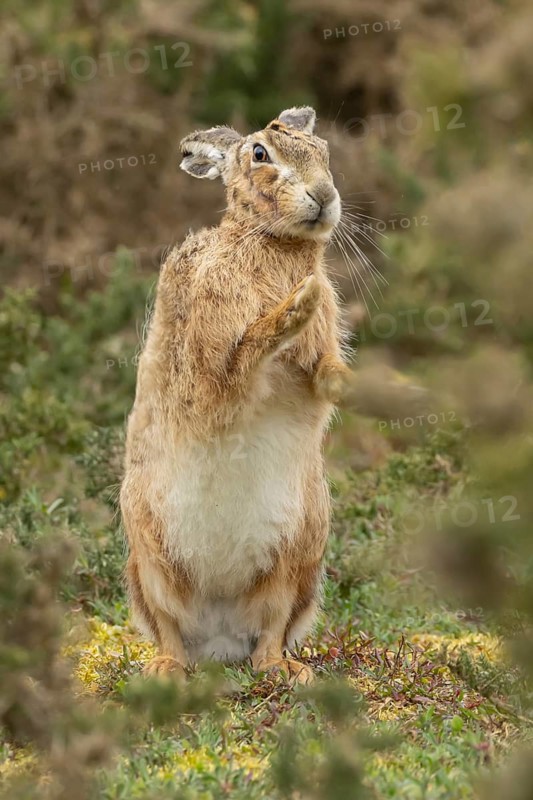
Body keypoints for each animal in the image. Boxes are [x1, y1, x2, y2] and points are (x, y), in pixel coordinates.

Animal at [120, 106, 355, 685]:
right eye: (260, 155)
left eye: (322, 151)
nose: (325, 195)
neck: (270, 242)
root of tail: (220, 638)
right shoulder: (209, 374)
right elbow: (242, 360)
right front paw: (297, 304)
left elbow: (325, 378)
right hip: (148, 562)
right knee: (168, 626)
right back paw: (165, 669)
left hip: (297, 559)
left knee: (271, 631)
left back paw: (287, 672)